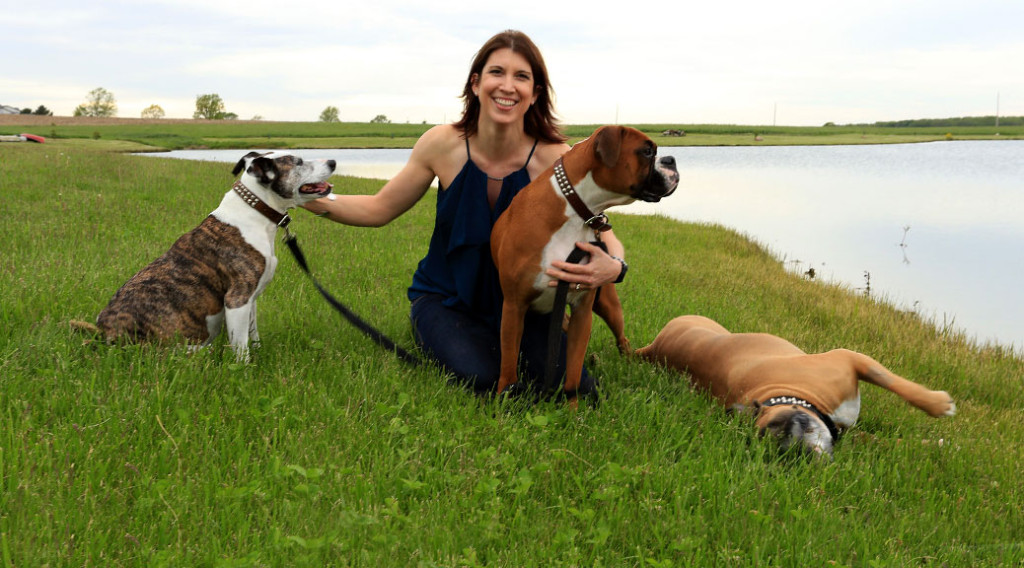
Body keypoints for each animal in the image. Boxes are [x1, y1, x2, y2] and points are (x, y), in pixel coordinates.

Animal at [76, 151, 339, 362]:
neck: (256, 208)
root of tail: (103, 334)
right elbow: (240, 347)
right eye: (298, 162)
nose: (334, 161)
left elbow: (252, 334)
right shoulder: (236, 299)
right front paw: (244, 372)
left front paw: (258, 352)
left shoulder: (251, 299)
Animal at [493, 126, 679, 403]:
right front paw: (503, 398)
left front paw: (572, 406)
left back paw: (627, 360)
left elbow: (573, 370)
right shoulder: (514, 307)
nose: (671, 160)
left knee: (621, 338)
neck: (575, 210)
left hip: (608, 306)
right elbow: (508, 361)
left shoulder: (582, 310)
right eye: (647, 151)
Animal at [634, 315, 954, 458]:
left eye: (786, 427)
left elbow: (895, 383)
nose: (800, 454)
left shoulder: (850, 360)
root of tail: (655, 346)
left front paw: (938, 406)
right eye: (777, 447)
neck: (791, 394)